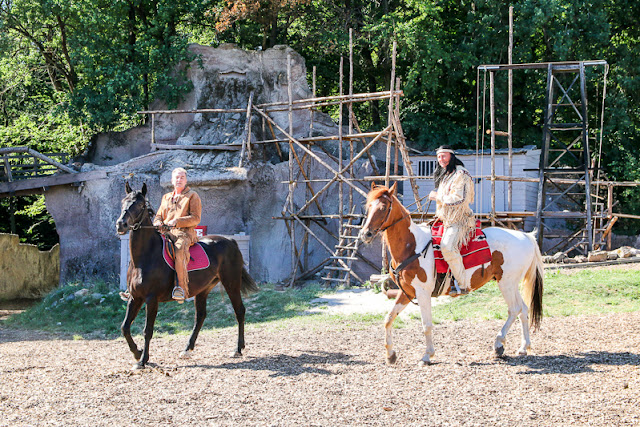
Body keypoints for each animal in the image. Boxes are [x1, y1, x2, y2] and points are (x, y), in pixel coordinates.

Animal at [115, 182, 258, 370]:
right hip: (203, 290)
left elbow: (148, 330)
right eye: (123, 201)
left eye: (139, 204)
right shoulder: (135, 297)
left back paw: (238, 349)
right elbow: (124, 327)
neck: (145, 257)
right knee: (200, 316)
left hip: (231, 283)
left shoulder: (151, 299)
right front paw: (137, 353)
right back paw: (187, 349)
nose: (121, 224)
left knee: (239, 311)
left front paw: (143, 360)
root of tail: (231, 241)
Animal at [358, 182, 544, 366]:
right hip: (511, 284)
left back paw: (498, 344)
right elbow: (388, 319)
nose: (365, 234)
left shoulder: (423, 292)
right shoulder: (407, 292)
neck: (412, 246)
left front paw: (427, 355)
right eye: (369, 207)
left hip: (506, 283)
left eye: (383, 207)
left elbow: (426, 324)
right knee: (523, 309)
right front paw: (390, 355)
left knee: (514, 309)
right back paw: (523, 347)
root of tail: (526, 237)